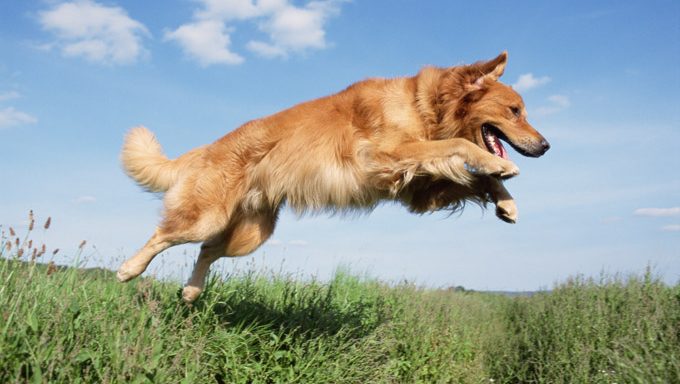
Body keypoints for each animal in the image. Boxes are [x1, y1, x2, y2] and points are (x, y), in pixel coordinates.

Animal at [118, 51, 548, 304]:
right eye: (514, 111)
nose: (545, 146)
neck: (423, 106)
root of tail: (208, 147)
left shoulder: (418, 189)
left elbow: (472, 179)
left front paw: (506, 201)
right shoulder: (385, 156)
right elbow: (459, 147)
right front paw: (500, 167)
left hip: (250, 234)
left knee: (206, 250)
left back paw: (191, 291)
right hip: (206, 217)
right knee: (163, 235)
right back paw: (129, 269)